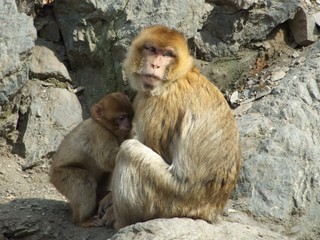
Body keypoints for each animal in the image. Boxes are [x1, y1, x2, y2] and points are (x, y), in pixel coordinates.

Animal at [48, 92, 132, 227]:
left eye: (129, 116)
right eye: (121, 117)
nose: (128, 124)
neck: (103, 125)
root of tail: (51, 175)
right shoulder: (100, 134)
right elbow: (107, 159)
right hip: (60, 176)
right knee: (84, 181)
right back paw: (83, 220)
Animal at [111, 25, 241, 230]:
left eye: (168, 54)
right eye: (152, 49)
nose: (155, 65)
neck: (177, 77)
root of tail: (210, 209)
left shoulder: (156, 105)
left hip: (169, 199)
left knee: (129, 150)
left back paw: (122, 222)